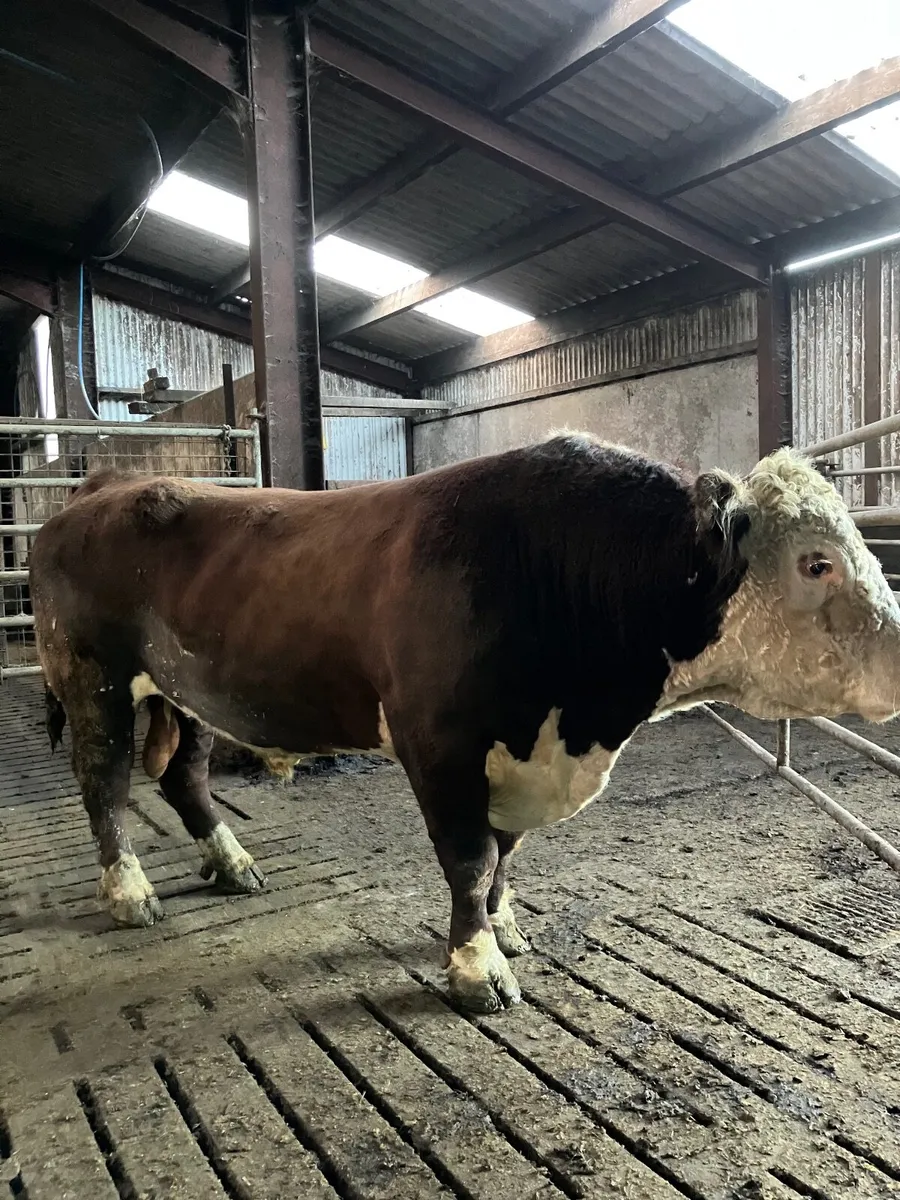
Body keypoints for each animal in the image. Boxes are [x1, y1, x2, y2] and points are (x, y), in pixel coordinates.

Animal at [29, 436, 900, 1013]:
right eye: (817, 562)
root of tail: (104, 484)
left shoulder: (512, 756)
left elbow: (504, 856)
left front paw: (504, 928)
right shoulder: (440, 744)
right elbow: (471, 860)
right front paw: (477, 966)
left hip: (185, 693)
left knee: (185, 776)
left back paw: (233, 862)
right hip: (92, 678)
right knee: (104, 783)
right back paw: (130, 890)